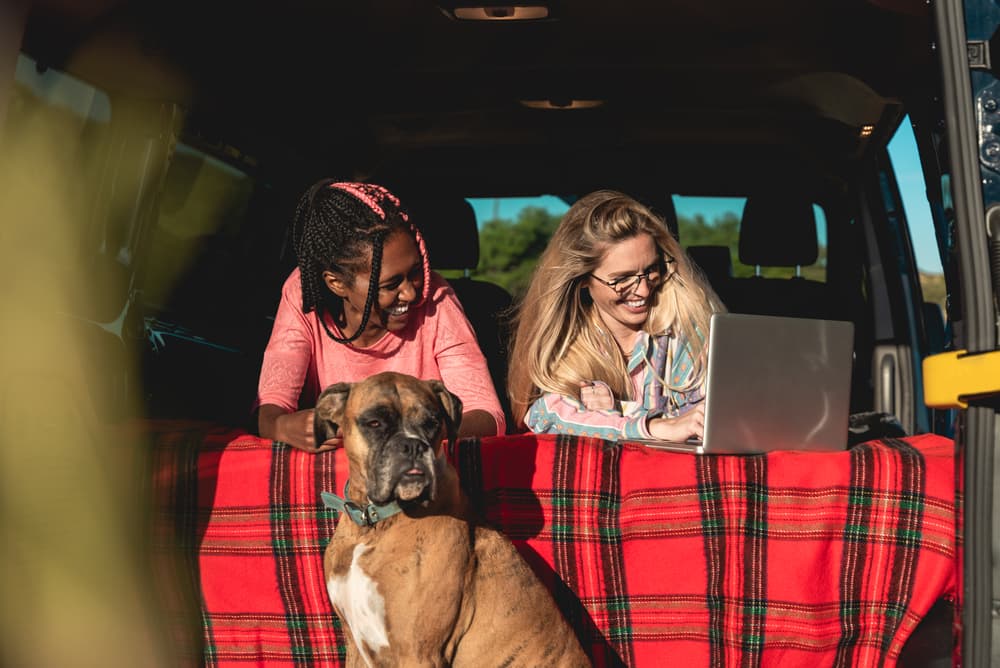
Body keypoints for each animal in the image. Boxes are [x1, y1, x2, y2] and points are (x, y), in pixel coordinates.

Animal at [316, 374, 588, 664]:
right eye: (374, 423)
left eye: (433, 423)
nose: (413, 445)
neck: (373, 525)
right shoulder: (355, 644)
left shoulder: (419, 654)